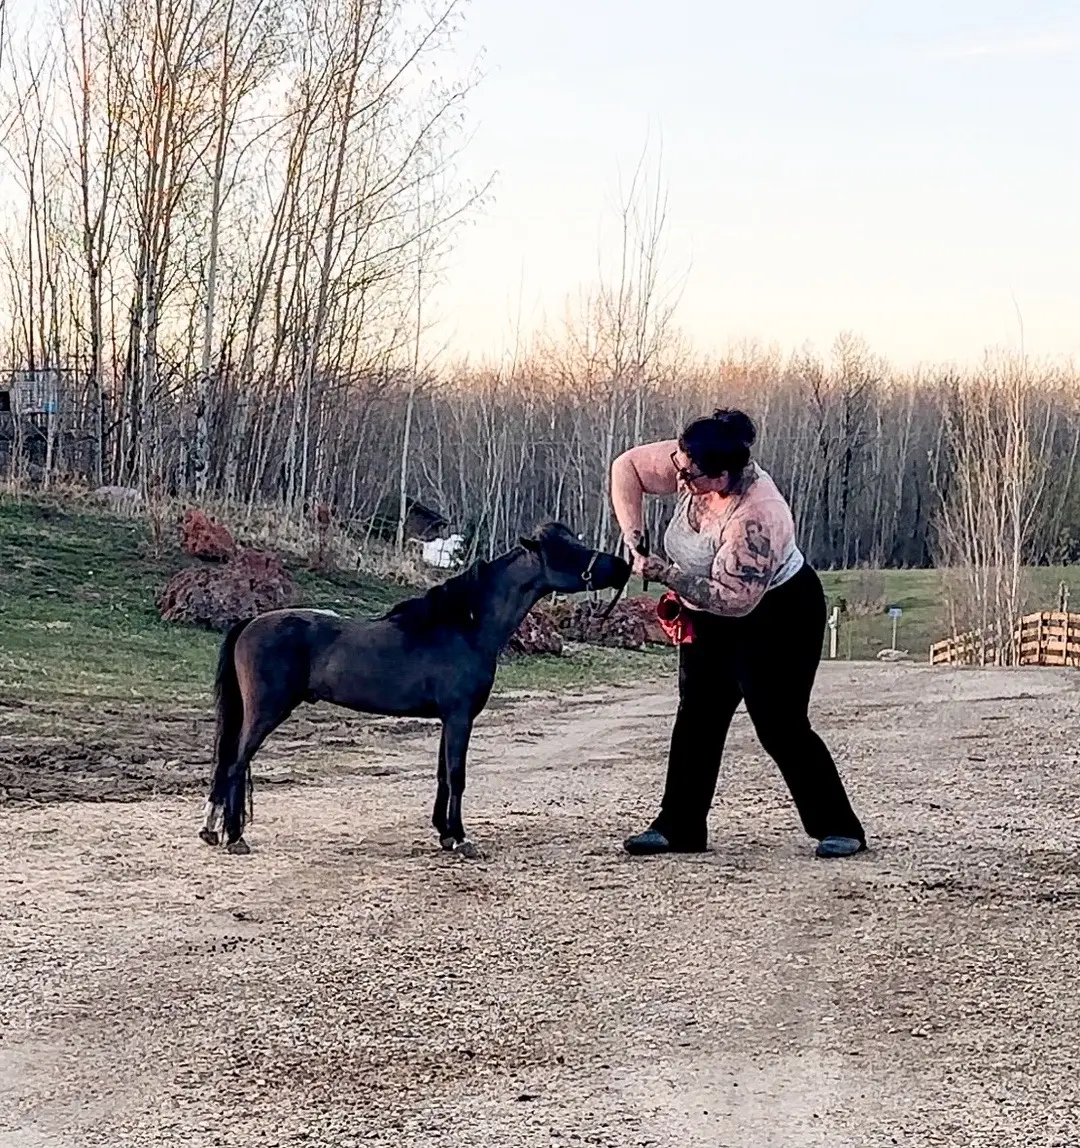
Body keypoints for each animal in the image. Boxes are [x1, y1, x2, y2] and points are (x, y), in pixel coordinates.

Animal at [199, 525, 633, 858]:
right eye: (568, 550)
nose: (622, 566)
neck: (466, 627)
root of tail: (250, 622)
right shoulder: (459, 717)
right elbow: (457, 774)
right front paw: (461, 839)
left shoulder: (448, 719)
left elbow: (443, 774)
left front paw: (445, 833)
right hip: (266, 711)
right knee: (235, 765)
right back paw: (234, 837)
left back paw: (214, 830)